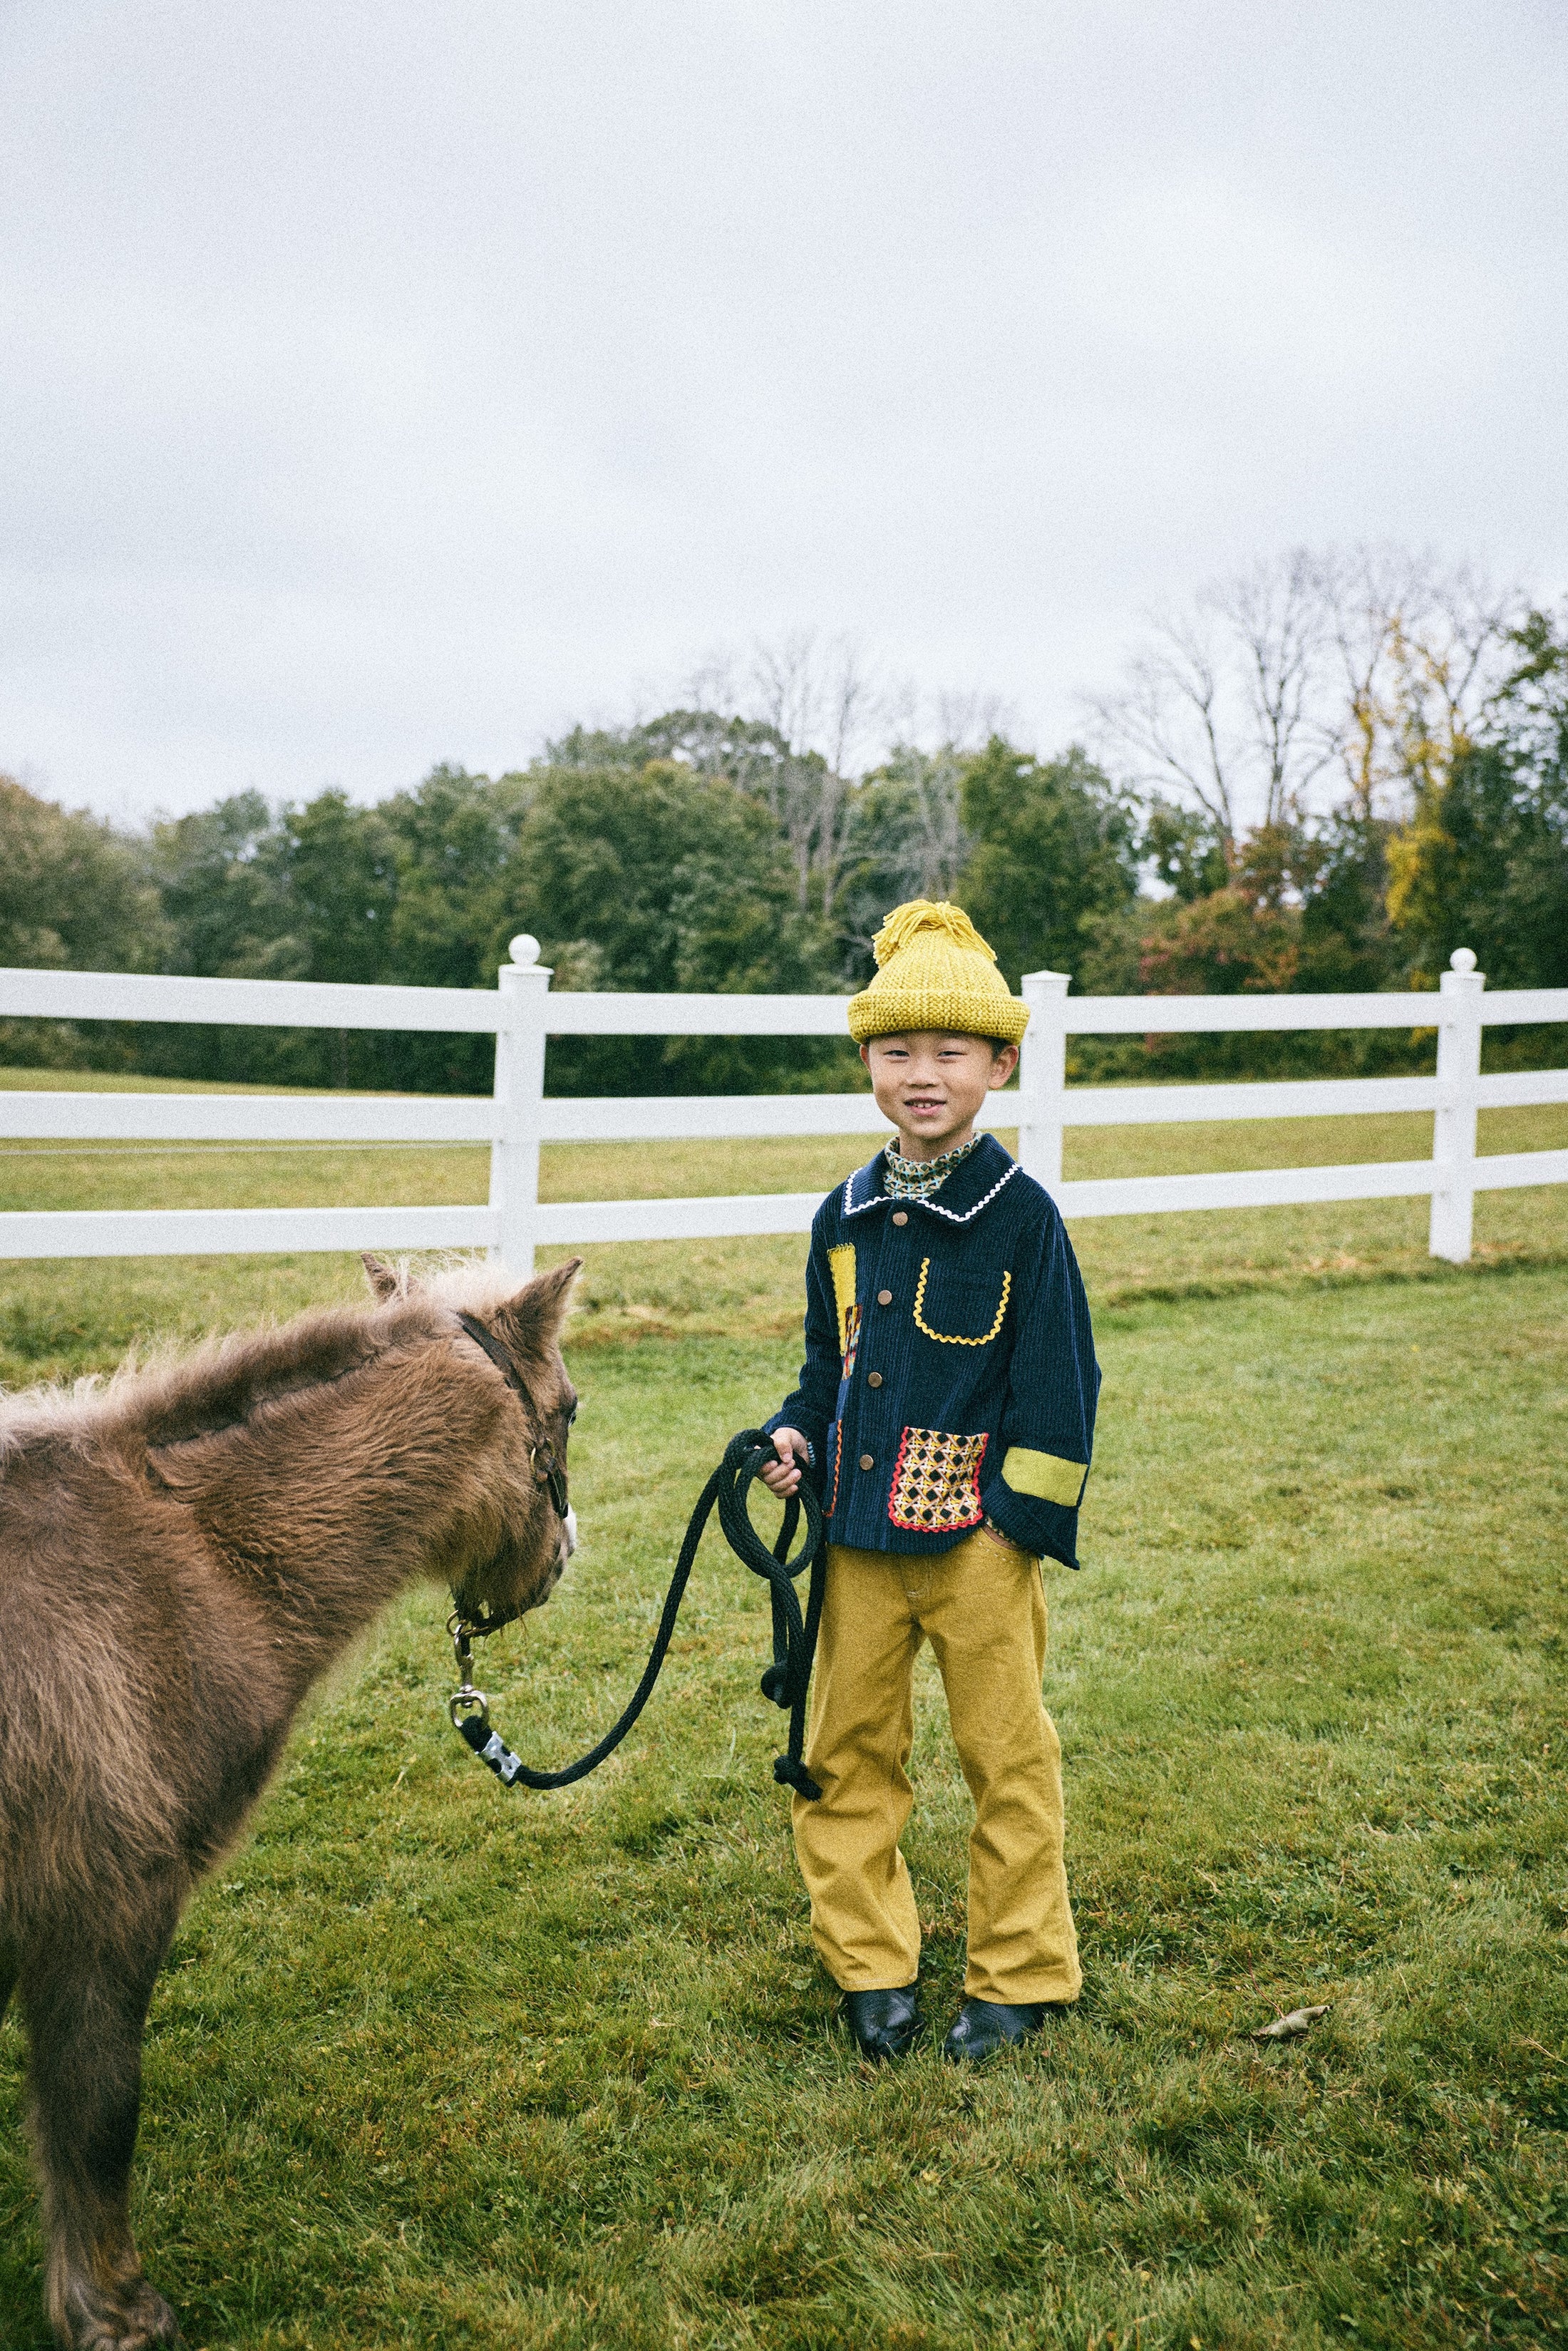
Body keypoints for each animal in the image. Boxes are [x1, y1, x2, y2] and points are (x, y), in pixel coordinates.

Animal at [0, 1260, 582, 2341]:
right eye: (567, 1408)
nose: (560, 1559)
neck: (183, 1564)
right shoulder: (102, 1908)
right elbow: (98, 2110)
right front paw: (115, 2308)